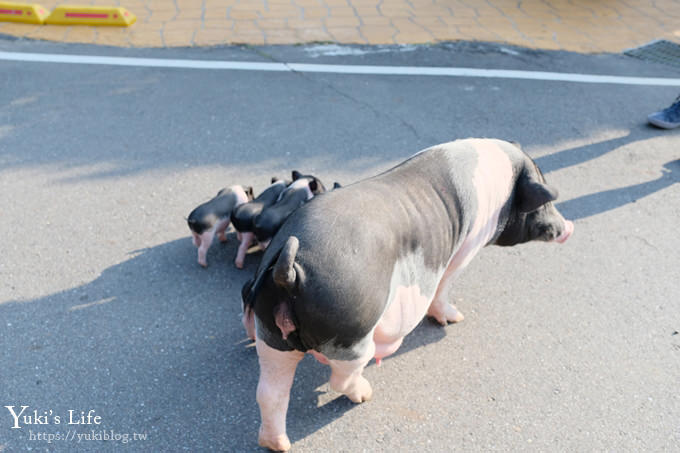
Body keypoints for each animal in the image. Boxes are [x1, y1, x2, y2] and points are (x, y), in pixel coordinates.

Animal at [243, 139, 572, 450]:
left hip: (271, 333)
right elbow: (445, 284)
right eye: (543, 196)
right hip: (352, 335)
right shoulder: (465, 249)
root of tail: (288, 270)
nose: (568, 227)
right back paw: (366, 393)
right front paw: (455, 319)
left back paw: (276, 444)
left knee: (269, 392)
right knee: (340, 378)